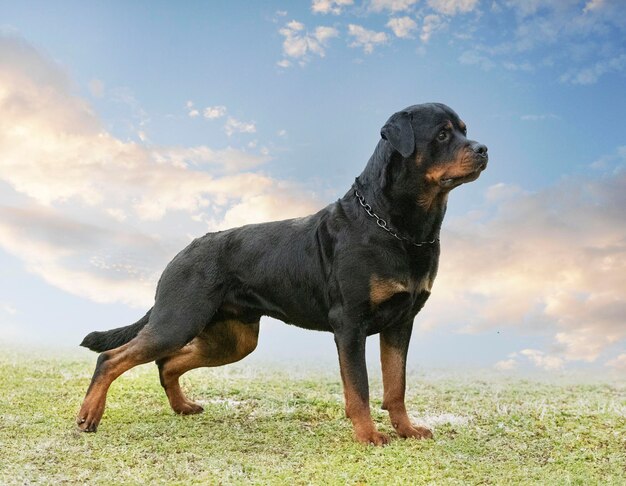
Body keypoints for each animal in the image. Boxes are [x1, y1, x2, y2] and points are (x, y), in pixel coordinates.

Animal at [77, 102, 488, 444]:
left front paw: (407, 430)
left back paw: (182, 406)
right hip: (179, 319)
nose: (484, 149)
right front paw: (369, 435)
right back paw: (89, 415)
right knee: (112, 358)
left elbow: (395, 385)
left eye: (465, 130)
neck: (398, 226)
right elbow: (360, 389)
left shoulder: (400, 323)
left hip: (233, 339)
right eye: (442, 134)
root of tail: (183, 251)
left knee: (166, 362)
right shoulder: (350, 325)